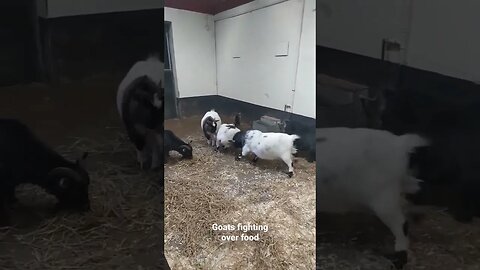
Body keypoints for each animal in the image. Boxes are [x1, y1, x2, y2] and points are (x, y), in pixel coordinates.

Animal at [316, 127, 430, 268]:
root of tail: (399, 143)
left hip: (384, 197)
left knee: (401, 224)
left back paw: (398, 257)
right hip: (398, 184)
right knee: (417, 187)